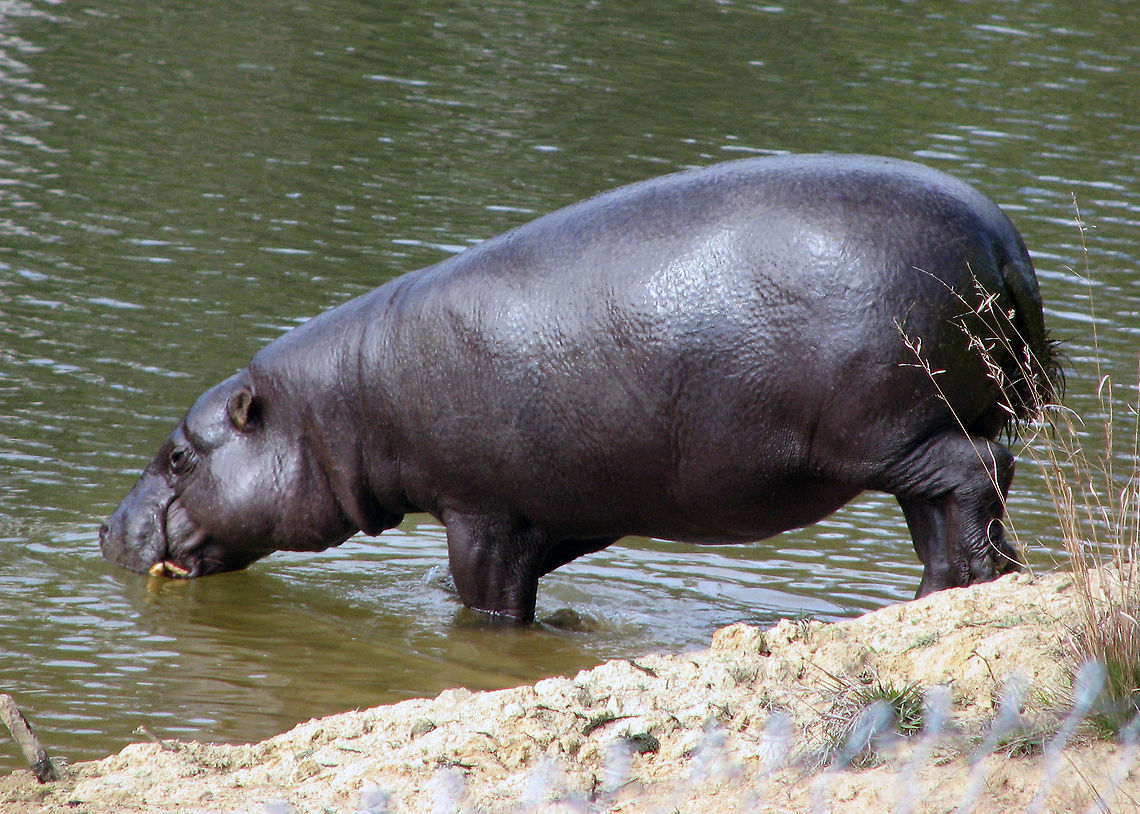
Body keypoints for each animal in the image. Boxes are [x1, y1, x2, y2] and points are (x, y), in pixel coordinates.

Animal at [100, 154, 1059, 622]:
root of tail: (1004, 241)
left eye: (179, 455)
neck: (331, 408)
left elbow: (487, 597)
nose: (108, 529)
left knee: (977, 476)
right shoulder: (564, 507)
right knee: (951, 501)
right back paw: (952, 592)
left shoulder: (481, 510)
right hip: (911, 438)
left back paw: (963, 586)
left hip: (892, 434)